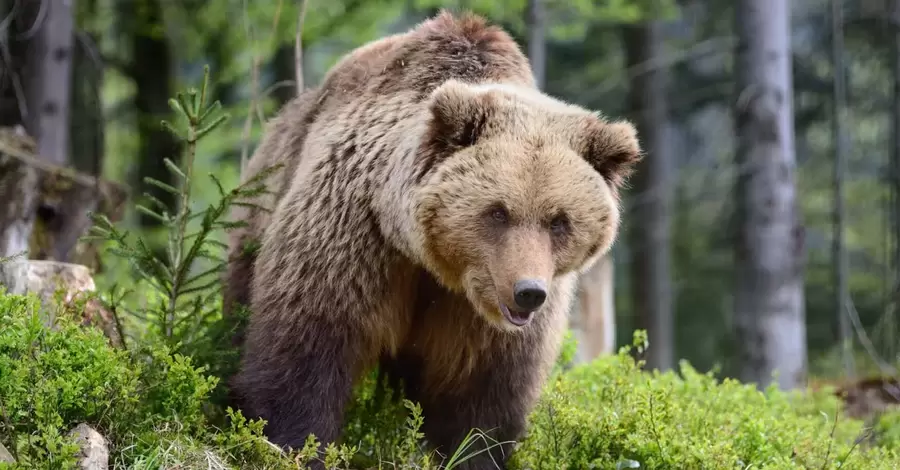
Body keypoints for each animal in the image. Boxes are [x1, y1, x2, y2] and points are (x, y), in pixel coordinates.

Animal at [227, 9, 640, 468]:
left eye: (559, 221)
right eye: (498, 211)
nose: (528, 292)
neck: (433, 263)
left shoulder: (485, 319)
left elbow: (482, 394)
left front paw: (470, 451)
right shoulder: (355, 235)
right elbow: (308, 345)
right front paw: (290, 442)